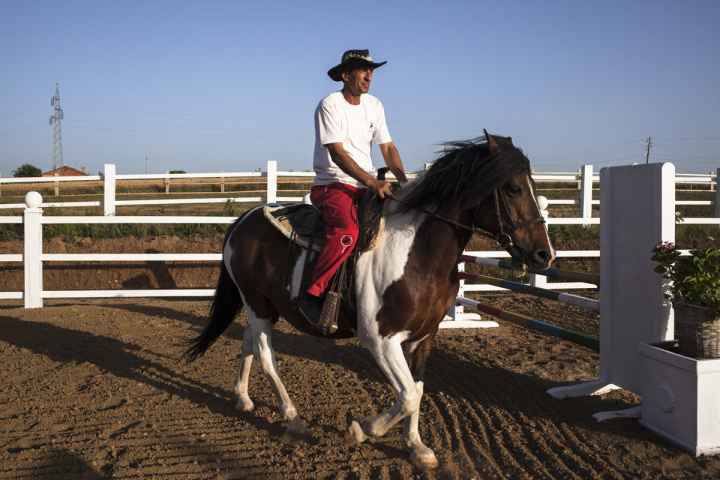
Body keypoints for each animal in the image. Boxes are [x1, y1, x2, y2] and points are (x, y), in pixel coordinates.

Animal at [183, 132, 556, 468]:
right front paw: (361, 430)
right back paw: (293, 419)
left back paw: (242, 397)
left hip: (268, 306)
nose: (544, 254)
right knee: (265, 355)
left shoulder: (423, 337)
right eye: (514, 188)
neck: (418, 252)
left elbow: (417, 391)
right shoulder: (380, 339)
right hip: (257, 303)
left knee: (248, 339)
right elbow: (408, 396)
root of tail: (242, 222)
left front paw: (416, 447)